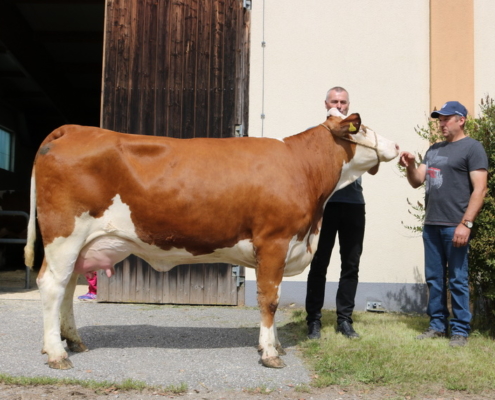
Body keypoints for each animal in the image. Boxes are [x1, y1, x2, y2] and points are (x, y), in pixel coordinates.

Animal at [25, 108, 402, 368]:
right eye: (362, 127)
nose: (397, 145)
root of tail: (74, 129)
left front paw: (274, 345)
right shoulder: (274, 242)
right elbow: (270, 300)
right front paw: (270, 353)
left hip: (78, 245)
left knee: (67, 289)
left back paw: (70, 341)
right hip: (65, 235)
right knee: (52, 285)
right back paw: (57, 353)